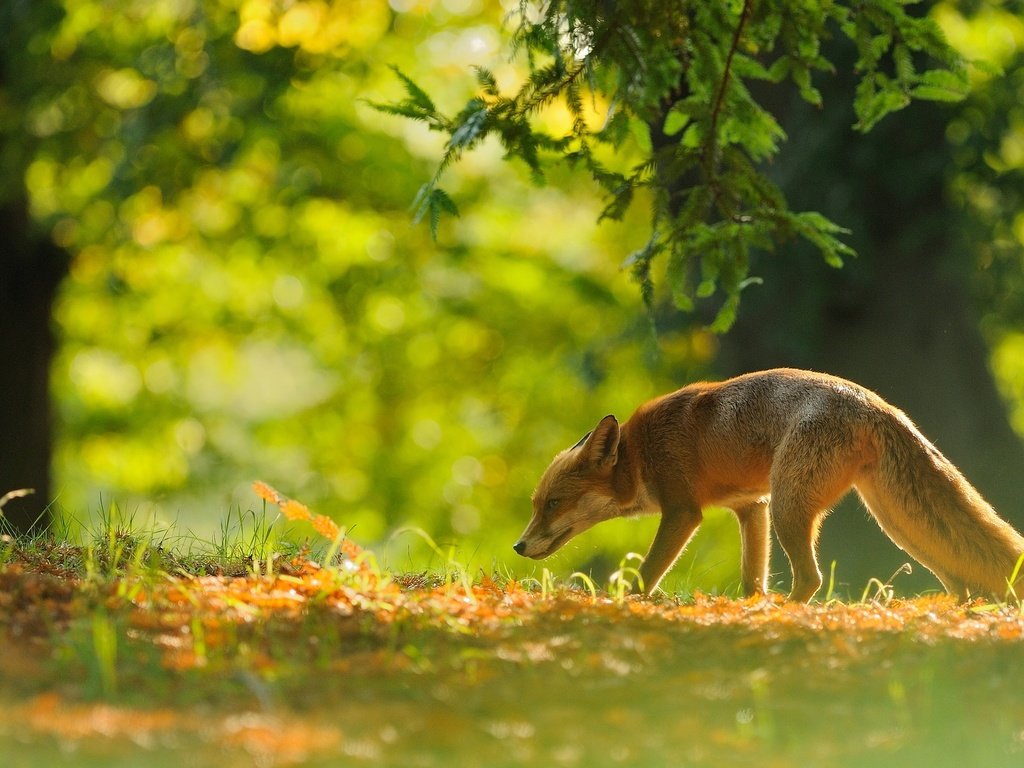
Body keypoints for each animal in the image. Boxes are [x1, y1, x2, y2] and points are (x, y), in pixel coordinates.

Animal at [516, 370, 1024, 606]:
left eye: (554, 503)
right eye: (537, 504)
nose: (519, 546)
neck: (640, 453)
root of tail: (876, 404)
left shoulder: (684, 511)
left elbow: (647, 572)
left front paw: (623, 602)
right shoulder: (750, 507)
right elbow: (752, 577)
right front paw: (748, 608)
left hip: (792, 506)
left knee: (812, 578)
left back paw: (792, 612)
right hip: (890, 522)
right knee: (956, 571)